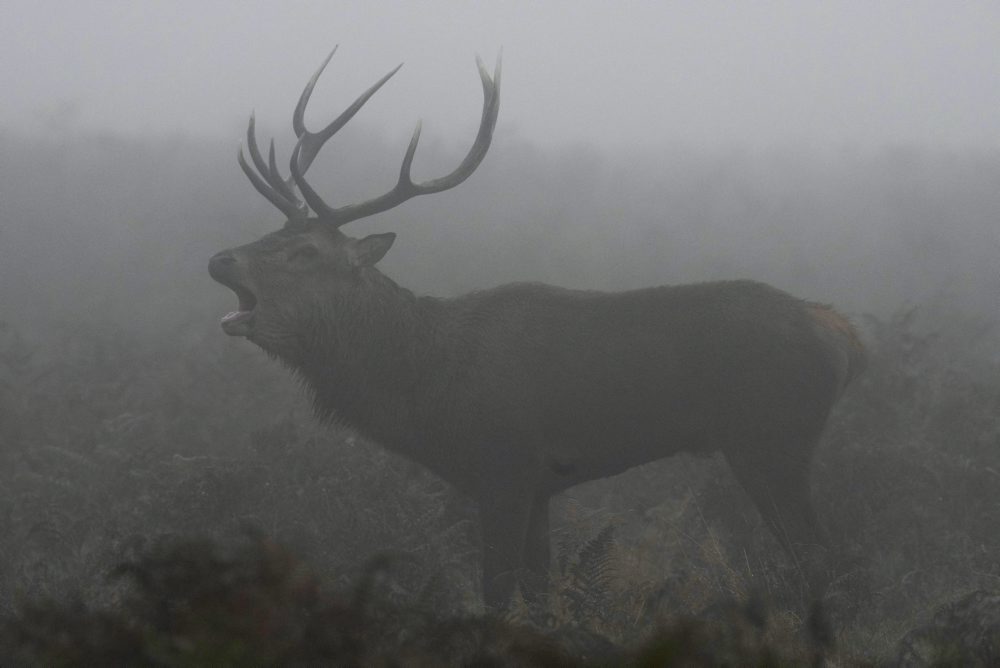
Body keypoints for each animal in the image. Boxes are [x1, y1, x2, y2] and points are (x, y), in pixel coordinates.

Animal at [211, 49, 868, 608]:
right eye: (271, 235)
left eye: (305, 253)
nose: (220, 259)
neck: (426, 389)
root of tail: (844, 335)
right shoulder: (542, 485)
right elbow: (539, 591)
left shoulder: (503, 465)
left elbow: (498, 594)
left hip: (773, 440)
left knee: (822, 558)